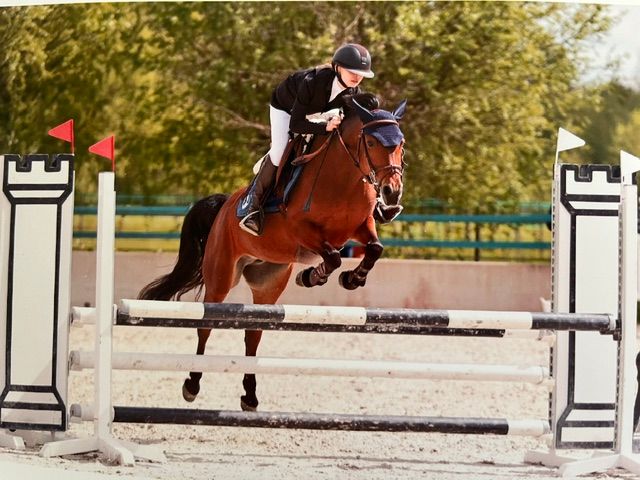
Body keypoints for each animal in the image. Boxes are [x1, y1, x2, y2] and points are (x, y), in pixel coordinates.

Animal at [138, 94, 407, 411]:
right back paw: (192, 384)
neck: (343, 179)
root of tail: (225, 205)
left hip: (268, 281)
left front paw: (351, 279)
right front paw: (312, 276)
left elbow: (374, 248)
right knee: (207, 326)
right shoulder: (301, 230)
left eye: (401, 144)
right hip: (221, 276)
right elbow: (332, 257)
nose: (392, 193)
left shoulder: (361, 227)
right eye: (373, 142)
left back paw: (250, 396)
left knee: (253, 334)